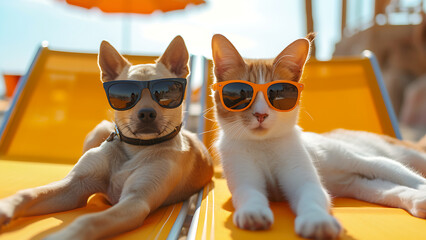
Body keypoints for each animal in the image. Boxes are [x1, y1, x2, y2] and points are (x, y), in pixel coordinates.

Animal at [0, 36, 213, 240]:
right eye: (125, 94)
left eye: (166, 92)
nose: (146, 114)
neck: (136, 148)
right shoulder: (73, 187)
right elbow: (29, 193)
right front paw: (6, 206)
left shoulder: (136, 201)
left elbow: (91, 220)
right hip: (100, 130)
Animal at [211, 32, 426, 239]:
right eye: (242, 95)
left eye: (278, 94)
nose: (261, 114)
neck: (264, 145)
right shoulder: (244, 179)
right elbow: (249, 194)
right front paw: (253, 211)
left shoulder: (305, 181)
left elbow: (310, 197)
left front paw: (316, 220)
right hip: (359, 184)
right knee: (390, 188)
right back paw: (419, 201)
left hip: (368, 161)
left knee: (410, 177)